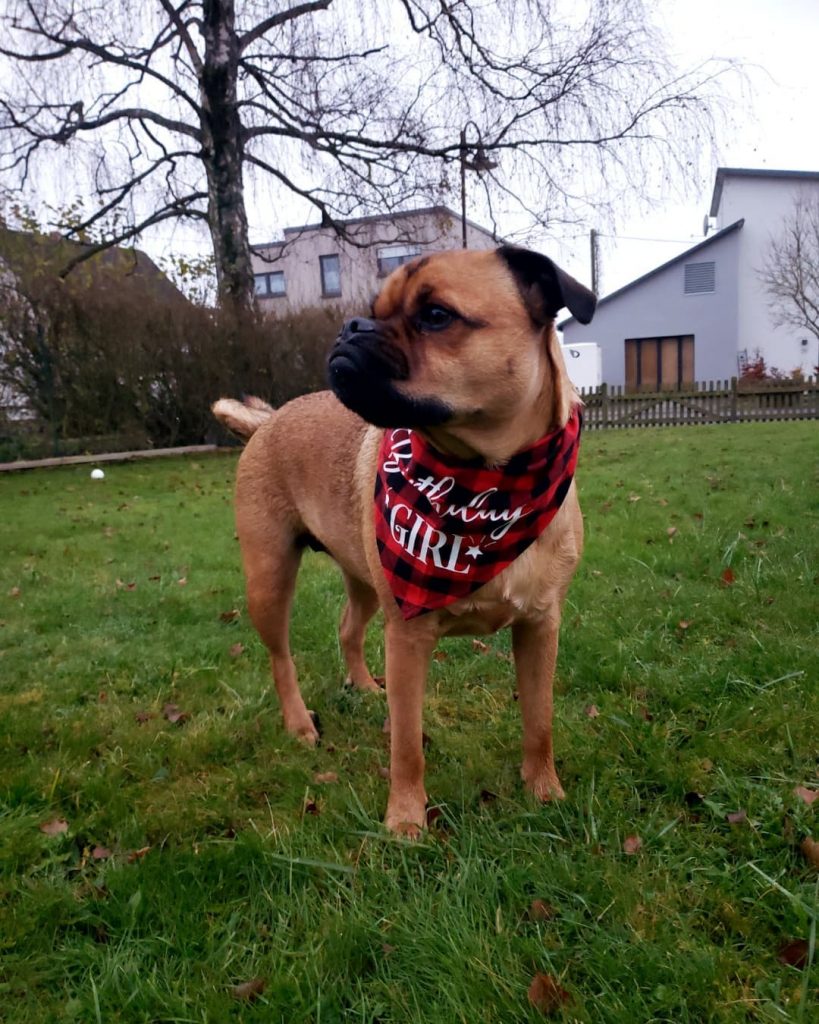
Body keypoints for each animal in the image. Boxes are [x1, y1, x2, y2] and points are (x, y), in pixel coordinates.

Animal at [210, 243, 593, 835]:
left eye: (436, 316)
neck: (487, 486)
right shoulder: (409, 639)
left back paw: (366, 688)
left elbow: (539, 719)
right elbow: (408, 744)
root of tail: (266, 421)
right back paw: (300, 724)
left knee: (348, 628)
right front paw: (407, 821)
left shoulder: (539, 627)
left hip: (364, 581)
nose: (352, 324)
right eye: (374, 309)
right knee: (280, 657)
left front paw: (544, 791)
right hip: (269, 578)